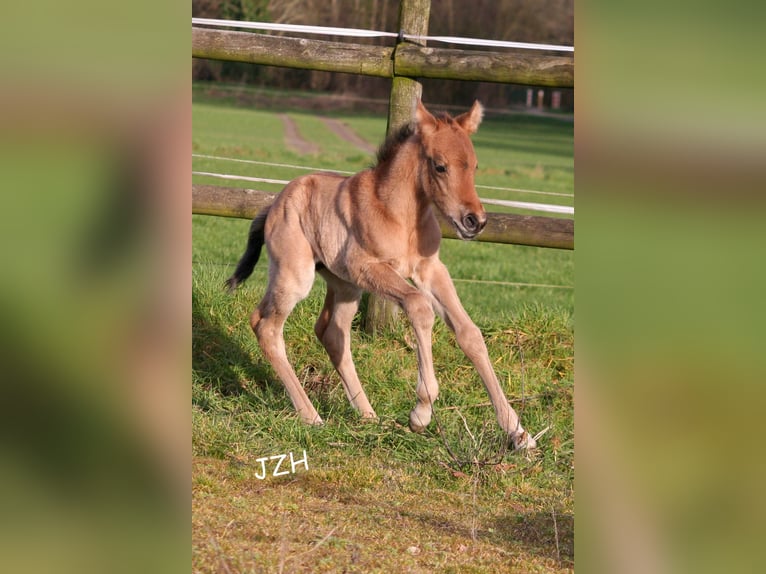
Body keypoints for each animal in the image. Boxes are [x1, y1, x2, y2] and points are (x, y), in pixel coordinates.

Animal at [228, 101, 536, 452]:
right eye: (440, 166)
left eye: (474, 165)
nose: (475, 221)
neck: (401, 216)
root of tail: (272, 205)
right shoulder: (367, 266)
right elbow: (419, 306)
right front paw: (421, 414)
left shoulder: (431, 269)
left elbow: (469, 333)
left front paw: (518, 433)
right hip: (296, 277)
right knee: (265, 325)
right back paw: (312, 416)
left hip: (345, 286)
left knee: (332, 333)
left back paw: (367, 415)